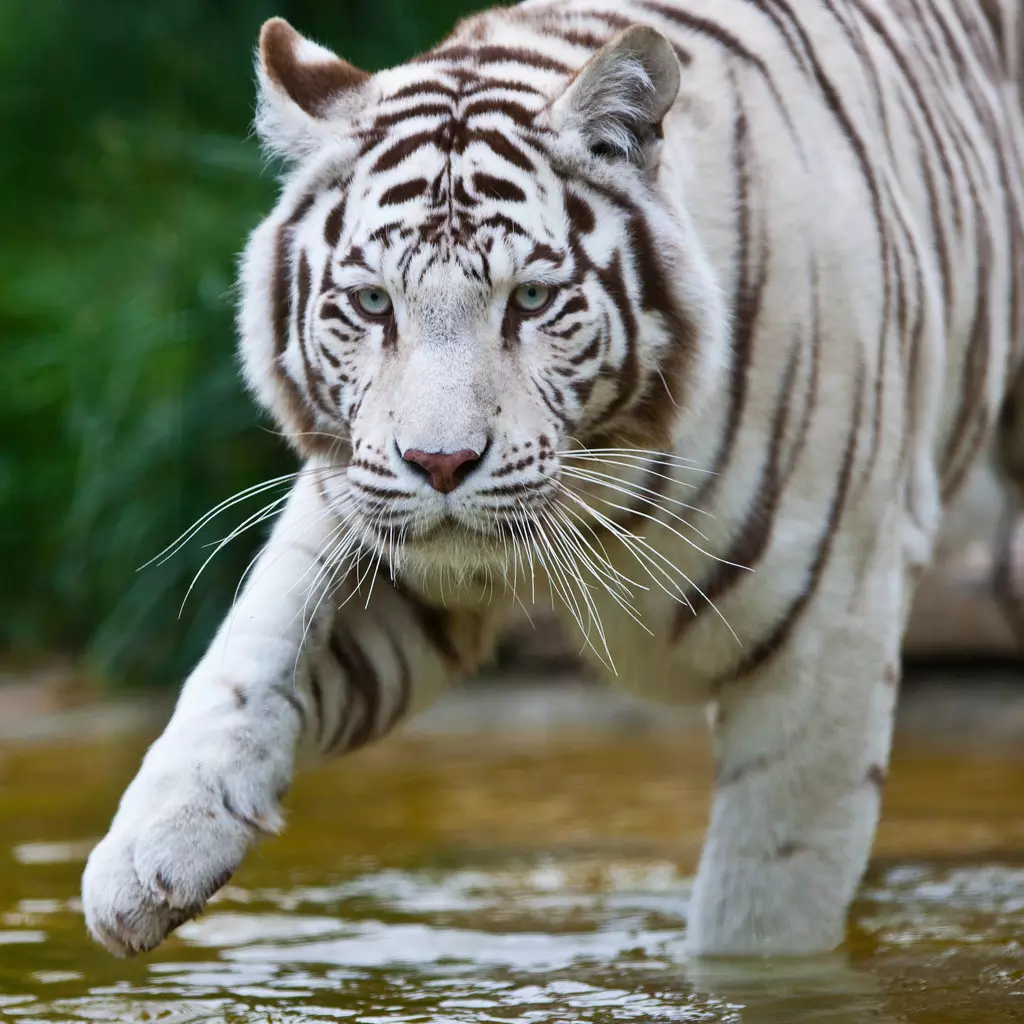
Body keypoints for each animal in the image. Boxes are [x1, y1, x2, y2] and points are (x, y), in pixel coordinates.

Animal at [77, 0, 1024, 958]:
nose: (441, 463)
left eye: (529, 302)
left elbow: (761, 906)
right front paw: (148, 856)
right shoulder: (375, 526)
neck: (614, 491)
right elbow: (257, 645)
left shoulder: (829, 627)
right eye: (374, 304)